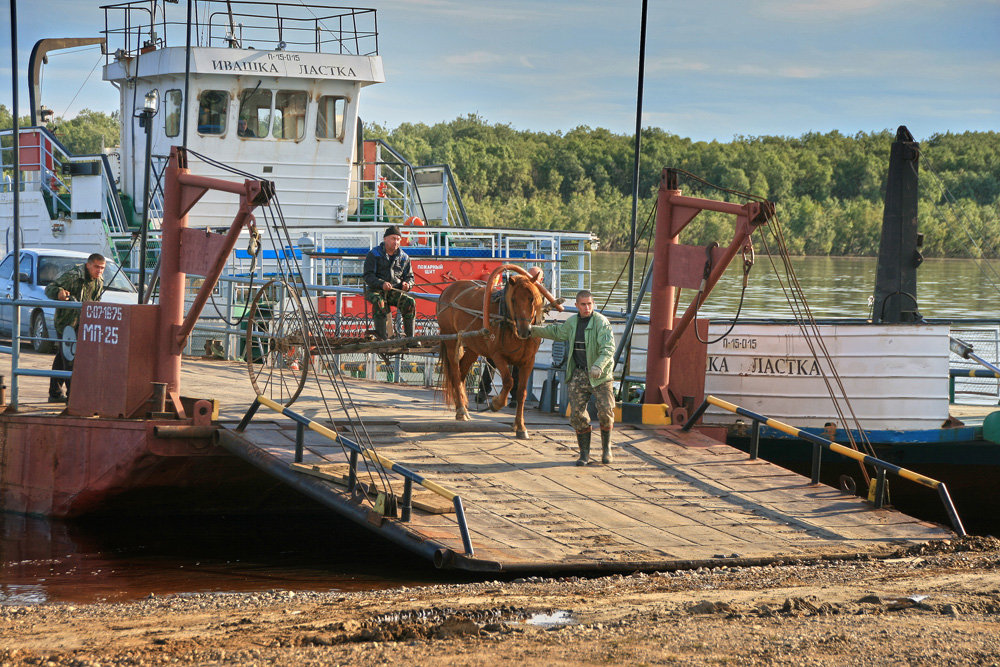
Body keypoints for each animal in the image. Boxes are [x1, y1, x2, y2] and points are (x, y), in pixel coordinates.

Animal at [438, 266, 556, 438]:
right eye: (513, 300)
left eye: (532, 299)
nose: (524, 331)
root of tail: (447, 290)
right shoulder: (498, 356)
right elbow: (508, 381)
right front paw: (497, 403)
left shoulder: (528, 361)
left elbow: (521, 392)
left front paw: (520, 426)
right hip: (451, 340)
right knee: (454, 371)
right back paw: (461, 410)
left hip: (473, 347)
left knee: (461, 374)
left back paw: (464, 406)